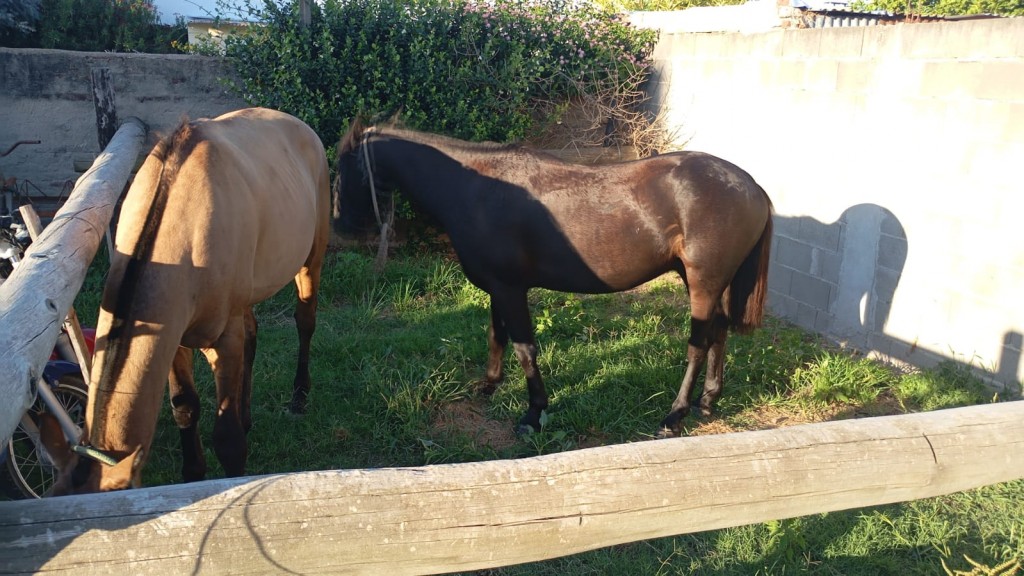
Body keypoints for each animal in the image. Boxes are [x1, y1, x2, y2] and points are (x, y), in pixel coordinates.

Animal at [44, 106, 329, 487]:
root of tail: (301, 125)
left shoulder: (223, 339)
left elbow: (227, 438)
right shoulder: (172, 337)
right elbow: (184, 407)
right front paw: (193, 474)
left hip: (312, 257)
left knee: (305, 322)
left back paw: (299, 396)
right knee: (253, 334)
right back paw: (248, 414)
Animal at [331, 119, 770, 434]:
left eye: (342, 170)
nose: (342, 226)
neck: (475, 189)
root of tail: (753, 187)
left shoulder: (511, 289)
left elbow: (525, 348)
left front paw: (533, 414)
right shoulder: (498, 287)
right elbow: (497, 335)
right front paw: (489, 385)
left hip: (703, 283)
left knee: (698, 343)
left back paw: (675, 414)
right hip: (711, 283)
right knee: (719, 332)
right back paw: (708, 401)